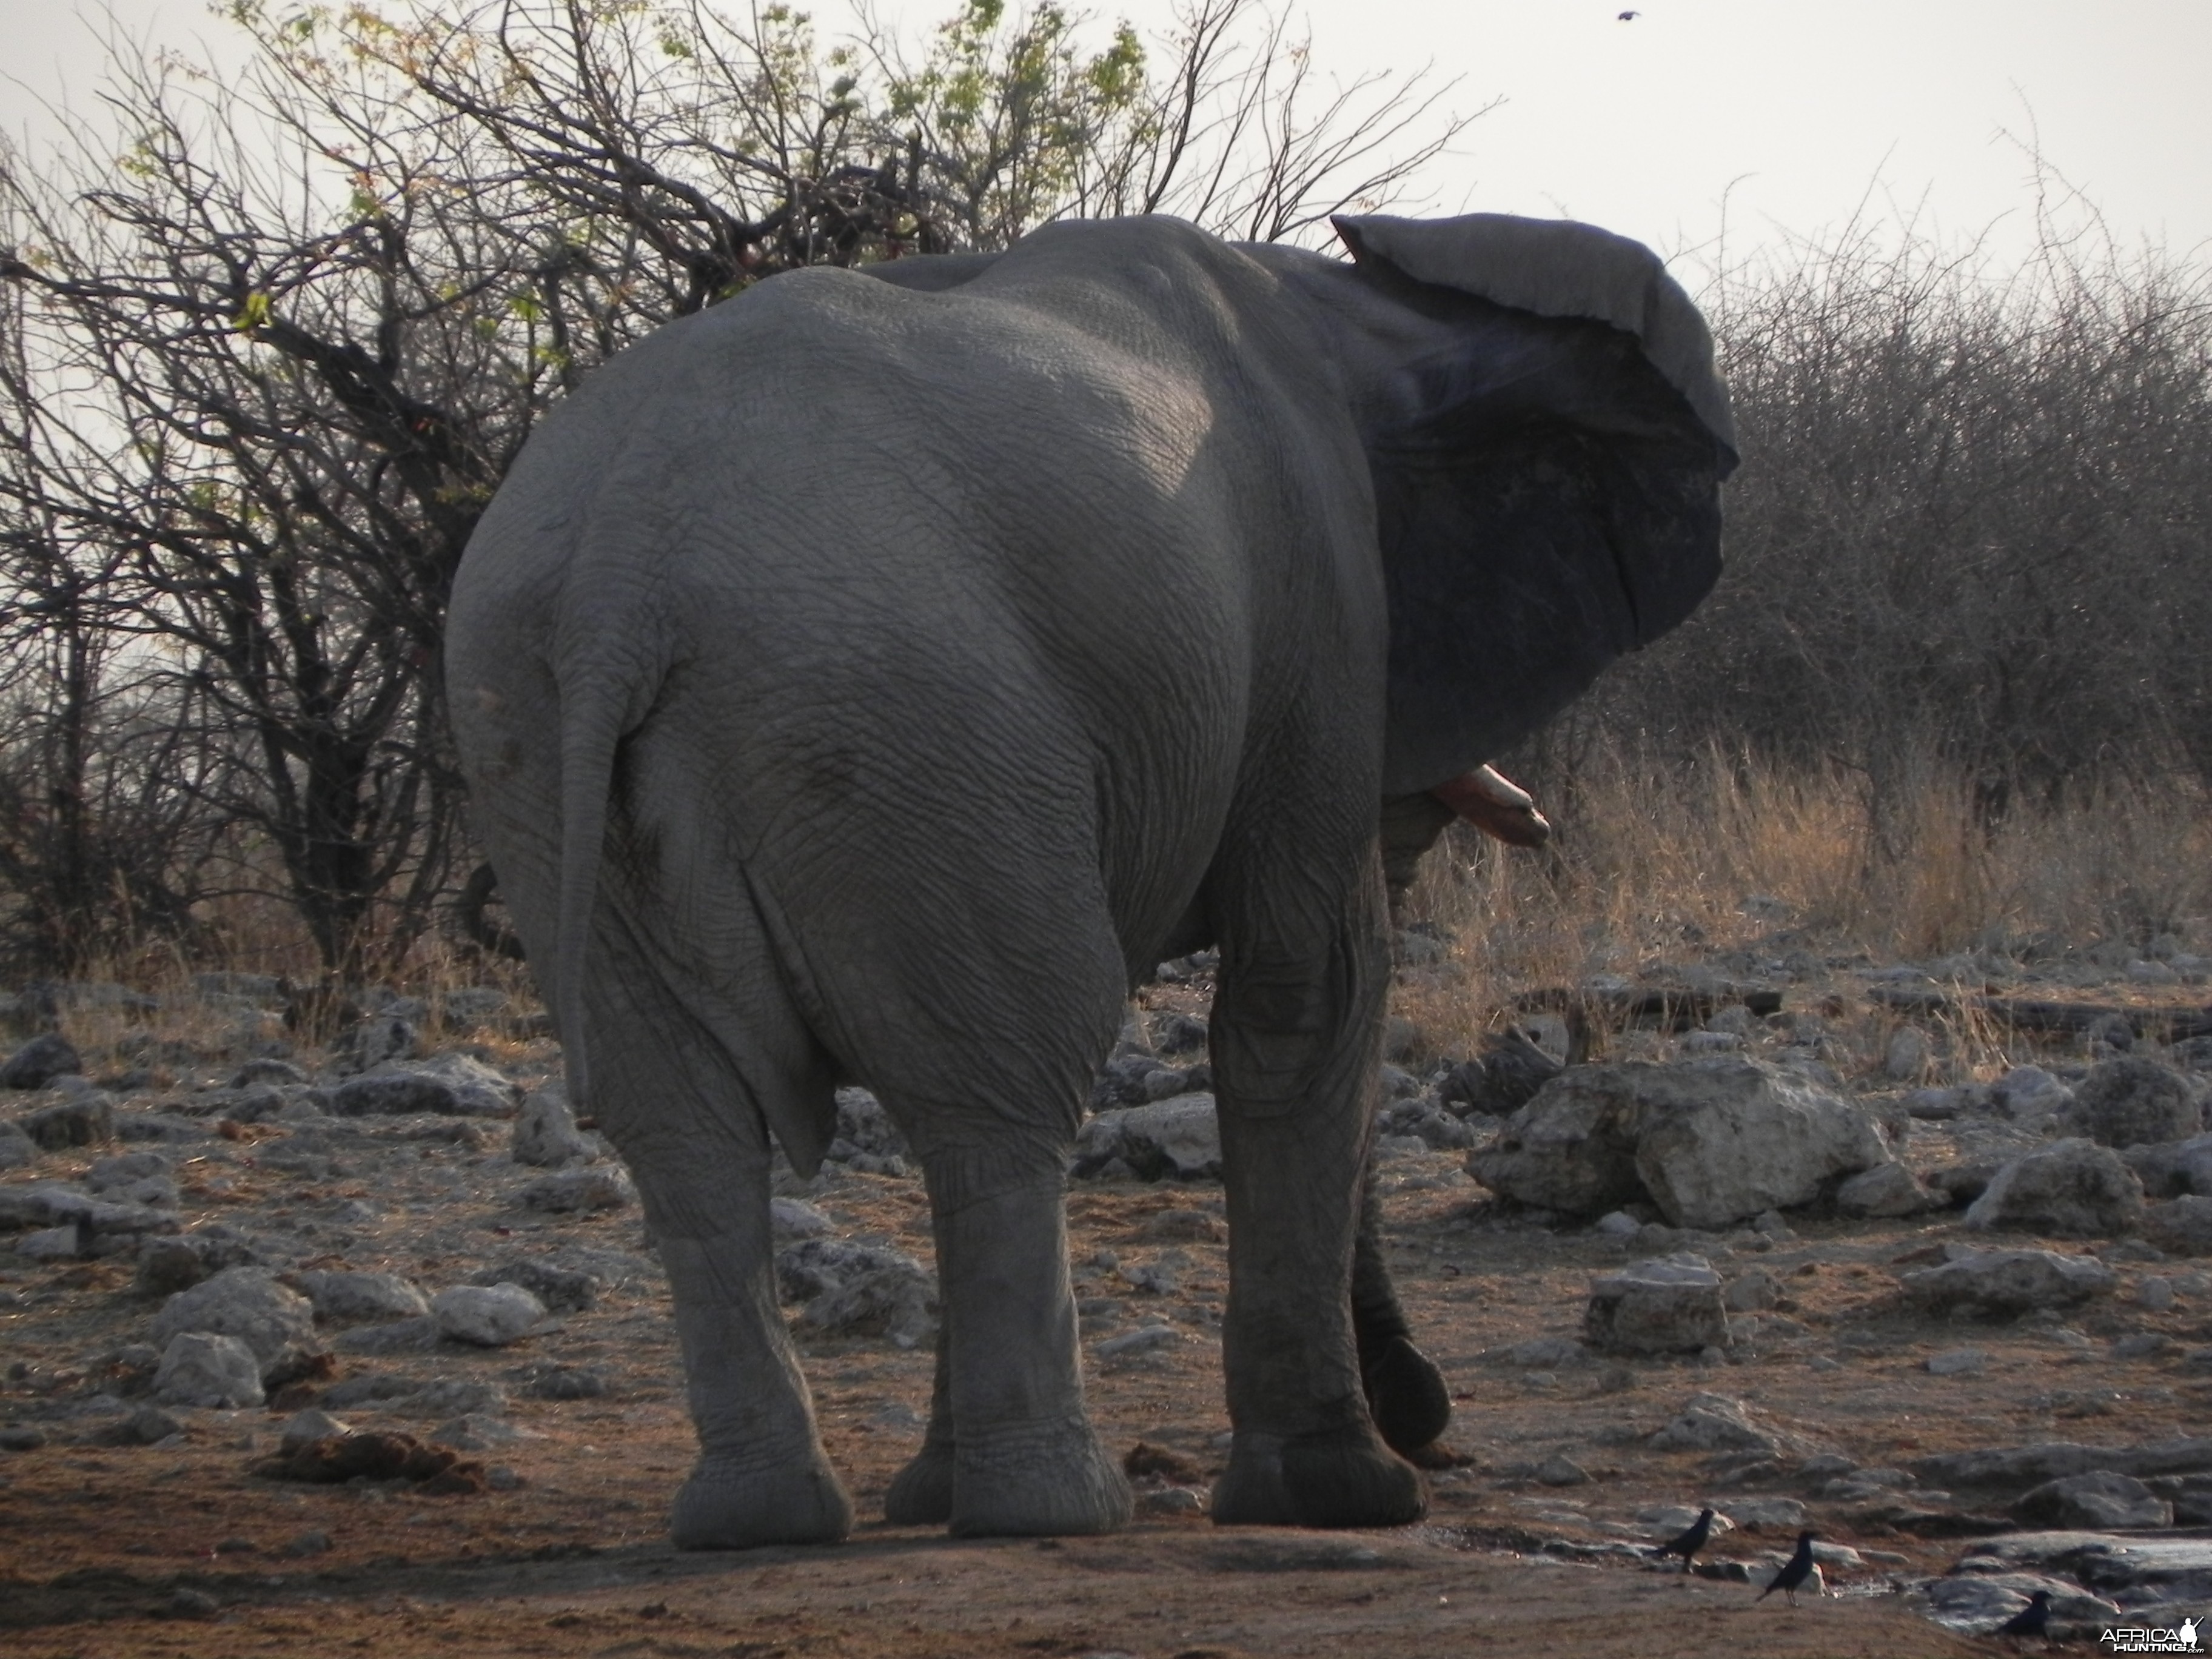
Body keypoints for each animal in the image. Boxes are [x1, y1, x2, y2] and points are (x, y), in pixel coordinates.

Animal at [444, 211, 1725, 1557]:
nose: (1425, 1411)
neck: (1355, 307)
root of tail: (617, 583)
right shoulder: (1315, 600)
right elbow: (1307, 998)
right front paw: (1347, 1495)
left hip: (535, 748)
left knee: (701, 1136)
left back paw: (770, 1521)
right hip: (906, 724)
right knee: (1006, 1096)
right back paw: (1053, 1509)